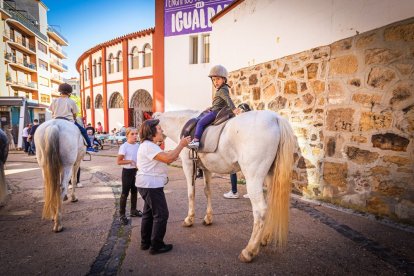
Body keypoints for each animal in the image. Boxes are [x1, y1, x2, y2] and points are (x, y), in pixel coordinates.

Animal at [156, 109, 298, 262]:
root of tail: (275, 118)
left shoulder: (188, 165)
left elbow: (191, 193)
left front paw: (189, 219)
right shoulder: (206, 169)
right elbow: (207, 191)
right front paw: (208, 218)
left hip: (253, 178)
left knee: (260, 211)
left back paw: (249, 251)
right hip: (271, 176)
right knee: (272, 204)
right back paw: (265, 238)